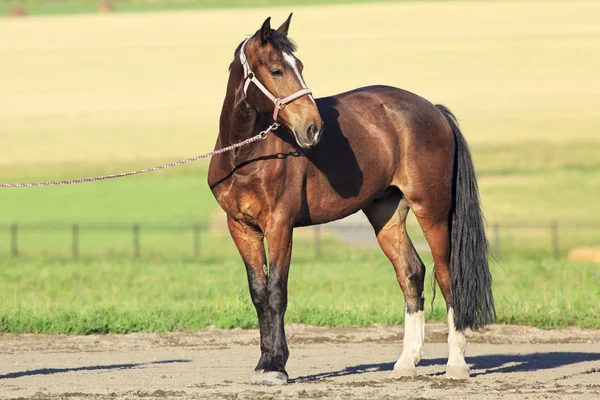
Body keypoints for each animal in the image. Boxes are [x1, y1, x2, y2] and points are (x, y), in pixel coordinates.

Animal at [209, 14, 494, 384]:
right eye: (276, 70)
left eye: (299, 66)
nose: (313, 128)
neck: (246, 158)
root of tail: (433, 110)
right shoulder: (242, 229)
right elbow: (258, 293)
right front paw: (263, 362)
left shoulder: (280, 226)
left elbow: (276, 292)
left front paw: (277, 365)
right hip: (386, 214)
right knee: (411, 272)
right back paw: (406, 362)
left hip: (431, 209)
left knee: (446, 276)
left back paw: (457, 363)